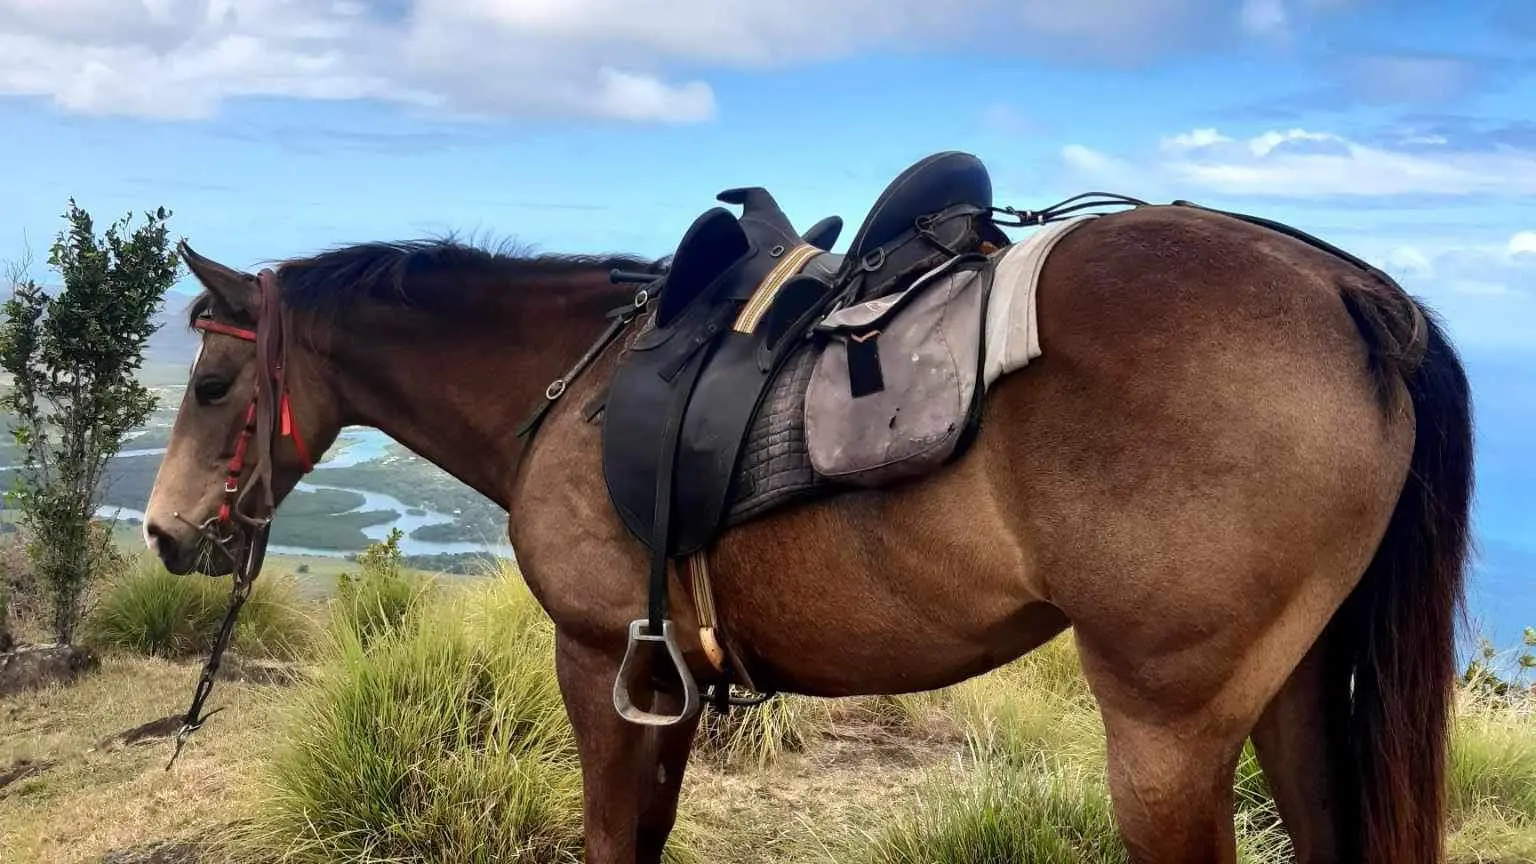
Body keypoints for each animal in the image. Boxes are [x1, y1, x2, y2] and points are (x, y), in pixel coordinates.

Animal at [146, 195, 1474, 860]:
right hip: (1292, 695)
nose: (162, 536)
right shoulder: (666, 678)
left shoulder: (593, 659)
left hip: (1167, 735)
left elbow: (608, 838)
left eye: (210, 385)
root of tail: (1350, 293)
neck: (573, 388)